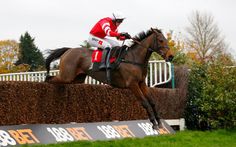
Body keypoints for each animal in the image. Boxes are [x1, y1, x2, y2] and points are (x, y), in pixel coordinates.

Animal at [44, 27, 173, 130]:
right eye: (161, 40)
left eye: (166, 40)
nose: (171, 56)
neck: (134, 58)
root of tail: (68, 50)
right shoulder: (132, 84)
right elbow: (145, 102)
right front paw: (154, 124)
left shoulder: (141, 83)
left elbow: (152, 101)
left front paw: (160, 123)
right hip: (67, 76)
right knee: (49, 79)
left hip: (77, 78)